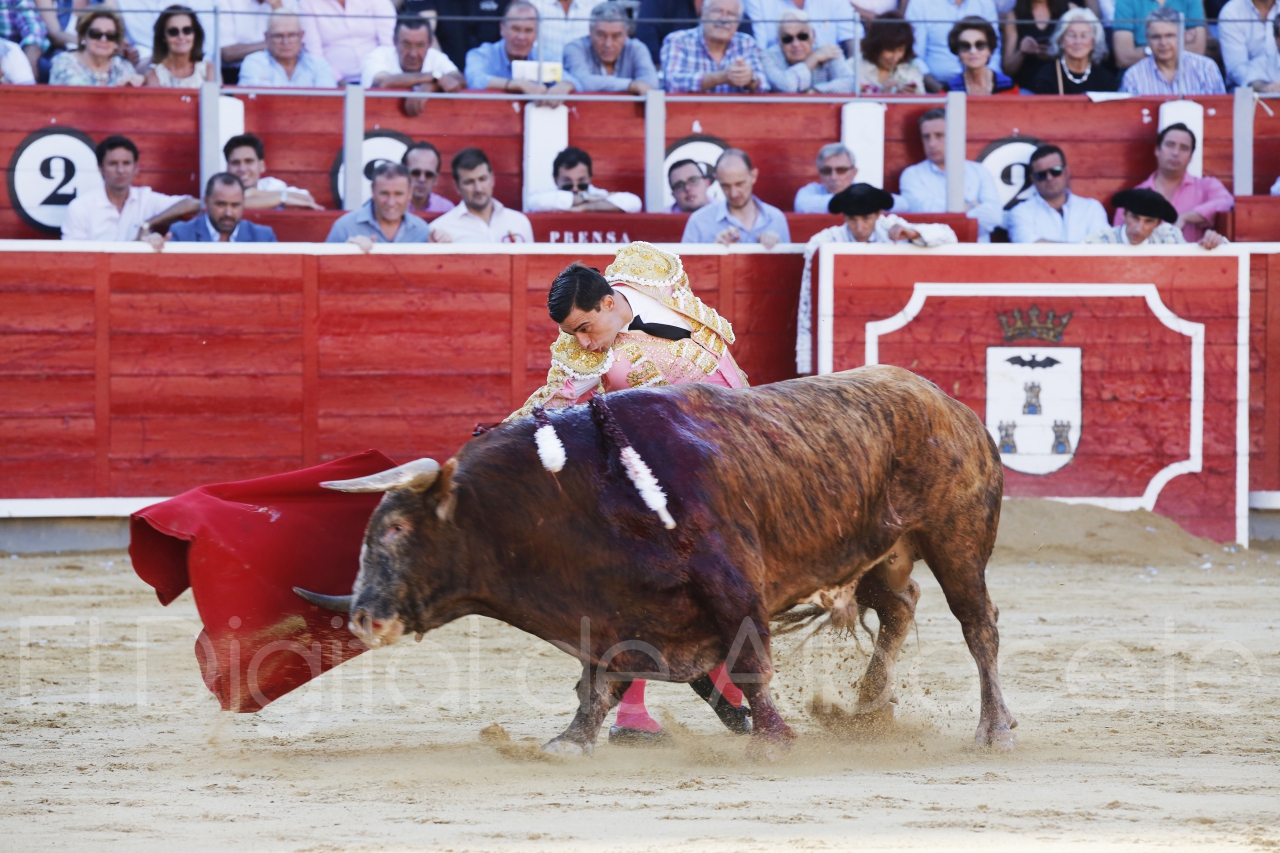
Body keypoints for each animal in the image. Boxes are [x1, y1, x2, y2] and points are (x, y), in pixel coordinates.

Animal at [295, 366, 1016, 756]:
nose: (363, 618)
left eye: (394, 529)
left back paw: (993, 728)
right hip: (882, 554)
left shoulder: (731, 583)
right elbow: (599, 684)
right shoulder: (616, 613)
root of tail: (951, 406)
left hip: (955, 536)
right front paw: (570, 741)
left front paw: (770, 738)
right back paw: (868, 705)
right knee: (898, 610)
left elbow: (749, 664)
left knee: (977, 626)